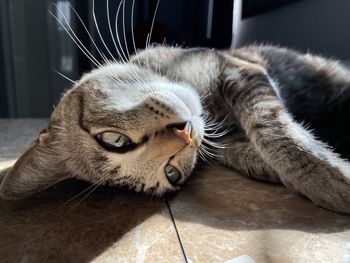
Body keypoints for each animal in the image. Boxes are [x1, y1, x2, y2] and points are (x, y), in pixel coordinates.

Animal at [0, 42, 350, 214]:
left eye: (113, 140)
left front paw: (325, 177)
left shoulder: (239, 68)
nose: (186, 132)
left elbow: (270, 126)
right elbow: (237, 149)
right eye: (172, 173)